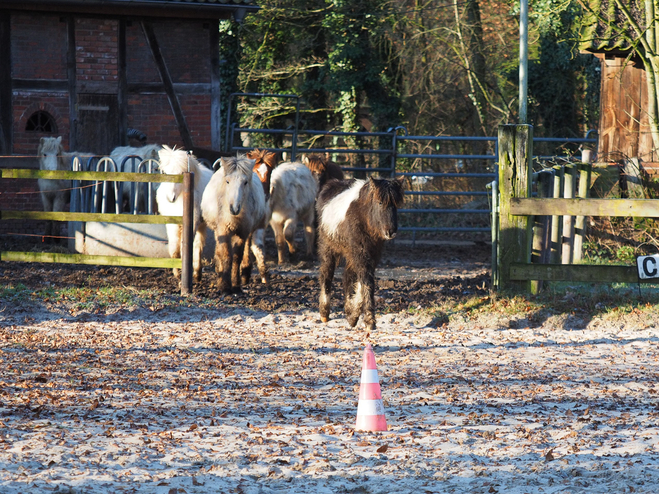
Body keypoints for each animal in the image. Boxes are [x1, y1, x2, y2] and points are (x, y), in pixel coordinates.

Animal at [155, 144, 213, 282]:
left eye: (182, 173)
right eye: (165, 172)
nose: (170, 198)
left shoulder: (192, 224)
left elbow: (185, 247)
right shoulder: (171, 224)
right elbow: (174, 248)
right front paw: (176, 273)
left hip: (200, 225)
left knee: (197, 246)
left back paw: (197, 274)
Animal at [201, 154, 268, 294]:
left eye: (245, 182)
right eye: (227, 181)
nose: (234, 208)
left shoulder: (242, 232)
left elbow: (237, 257)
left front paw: (236, 285)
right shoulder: (223, 230)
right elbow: (226, 256)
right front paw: (224, 286)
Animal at [318, 178, 404, 332]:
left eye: (395, 204)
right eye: (380, 202)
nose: (391, 232)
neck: (364, 217)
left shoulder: (371, 255)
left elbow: (361, 283)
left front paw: (353, 315)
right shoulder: (361, 254)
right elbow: (366, 283)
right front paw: (369, 320)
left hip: (350, 254)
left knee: (347, 277)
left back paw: (348, 311)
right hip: (328, 247)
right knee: (326, 274)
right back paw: (324, 313)